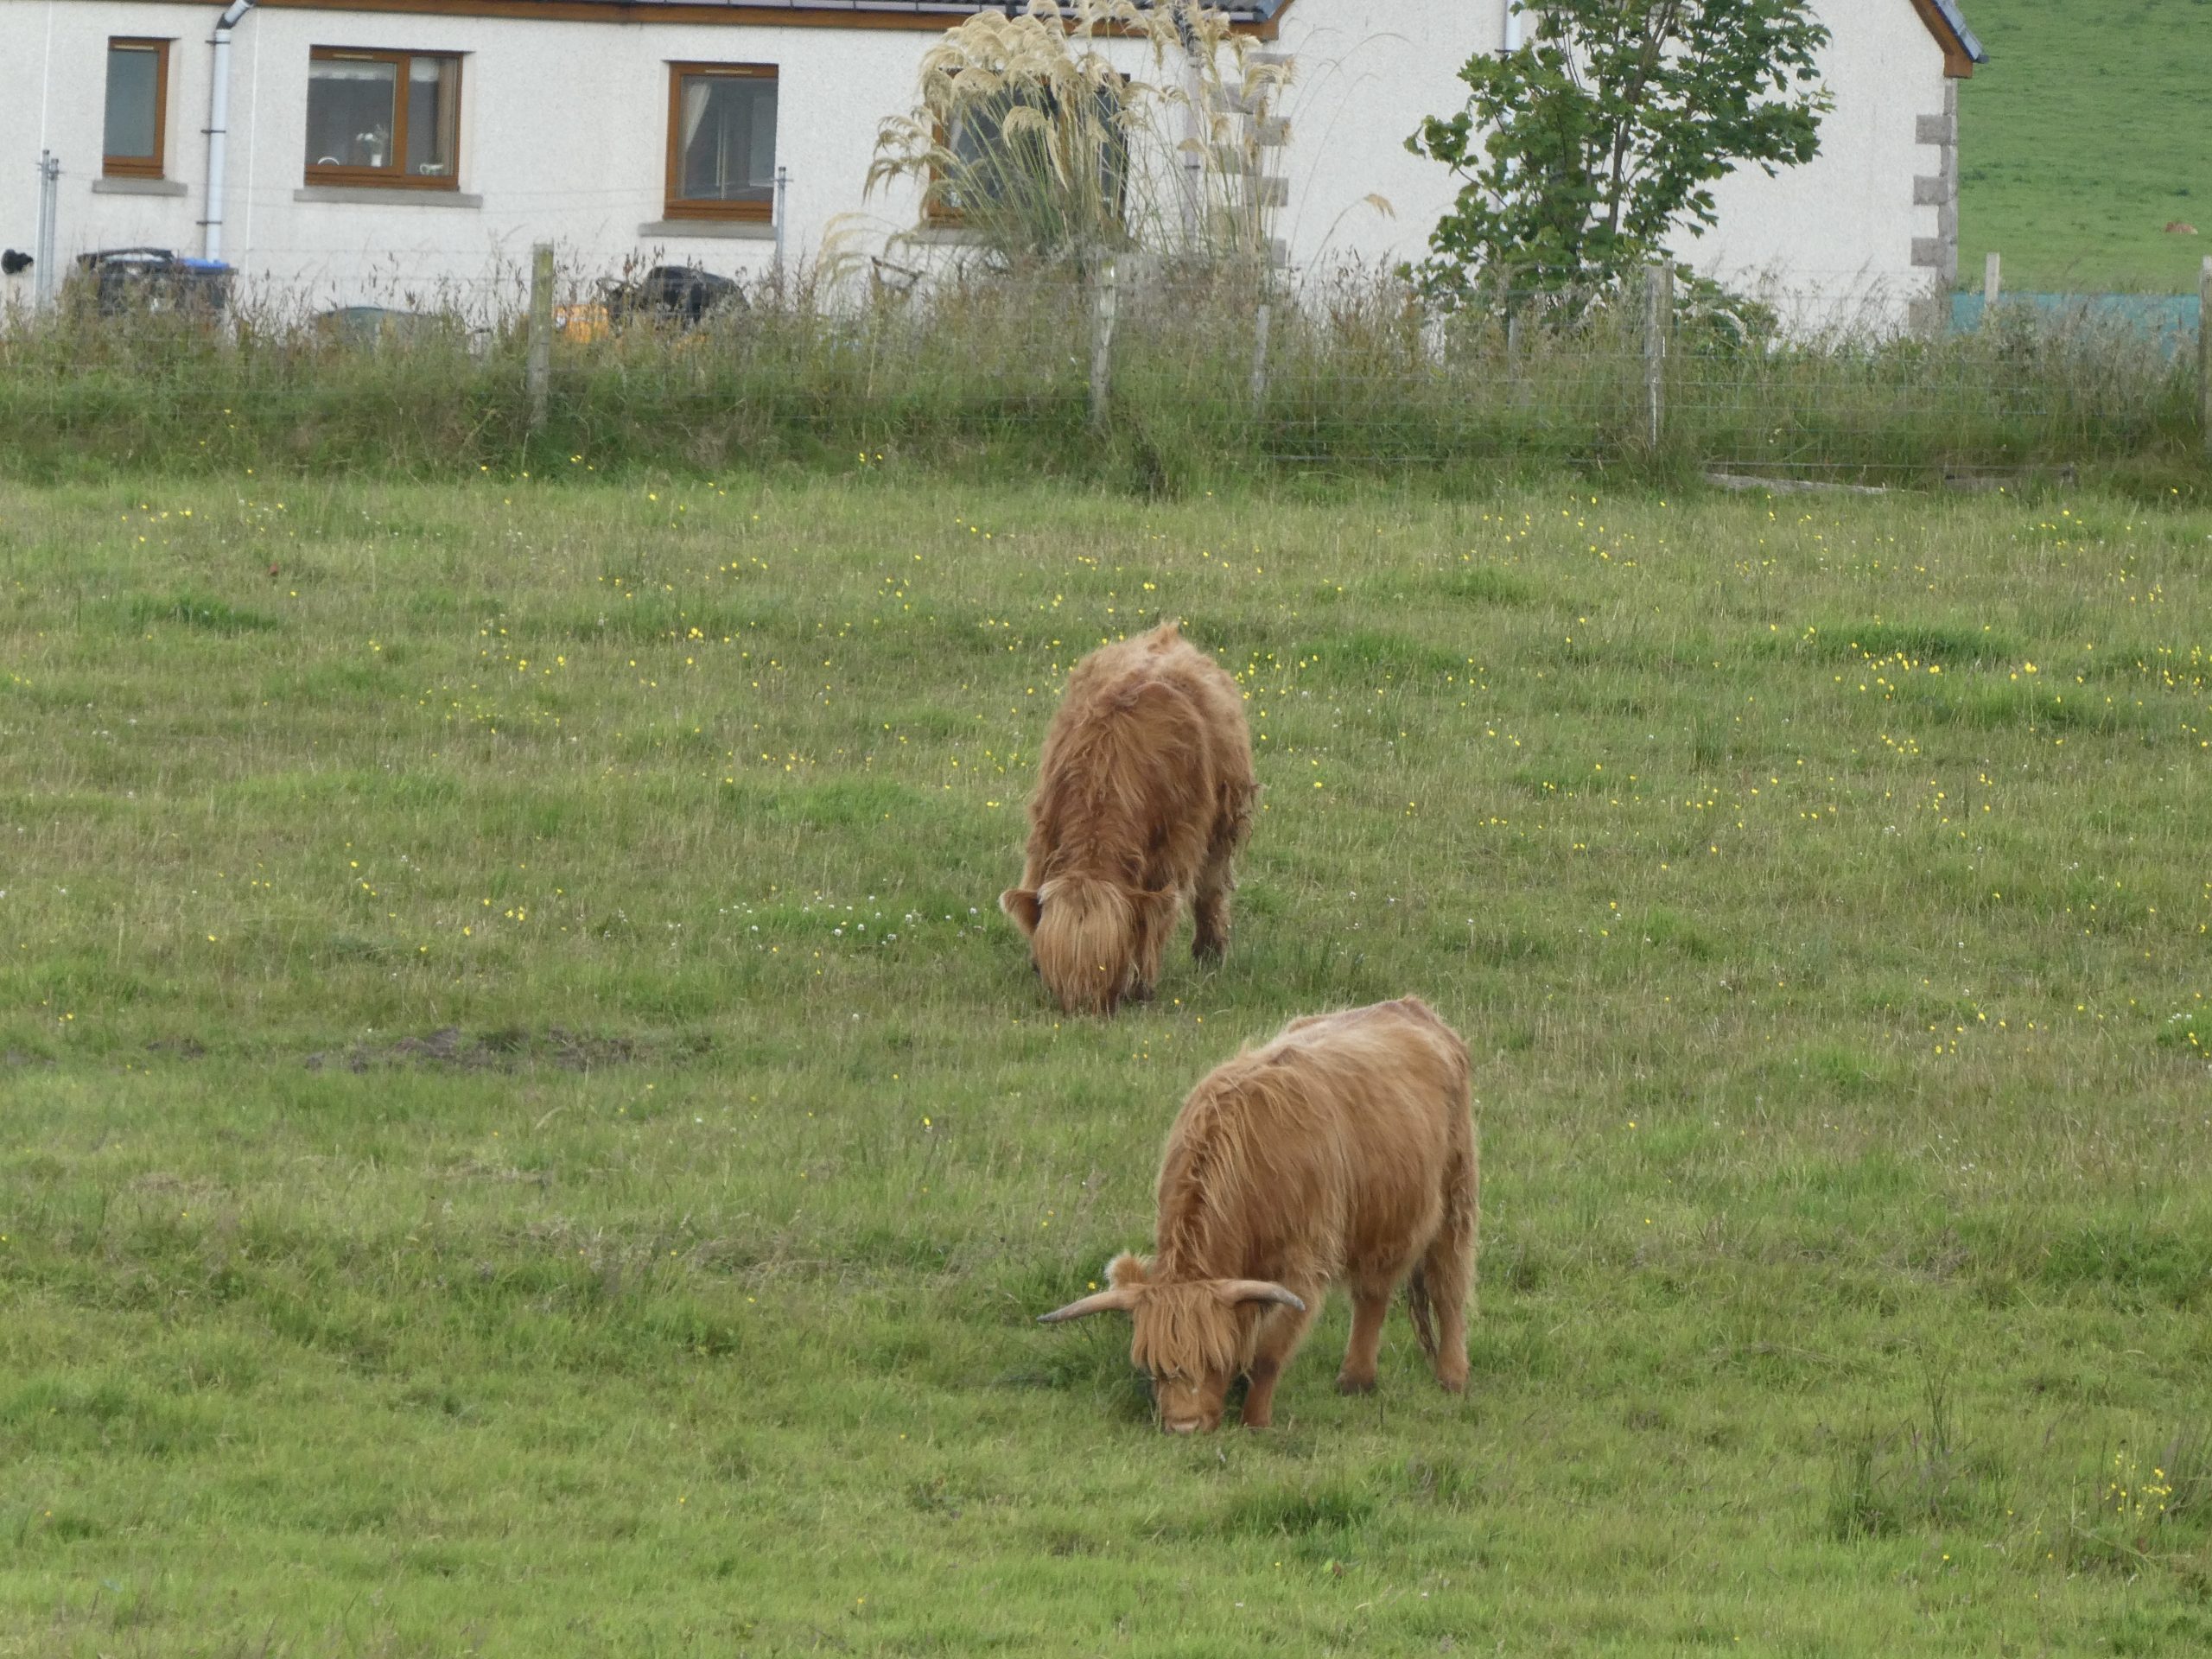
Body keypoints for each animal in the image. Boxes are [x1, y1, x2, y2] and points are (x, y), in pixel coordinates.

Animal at [1000, 622, 1255, 1016]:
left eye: (1109, 965)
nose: (1084, 1010)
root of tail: (1166, 634)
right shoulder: (1044, 832)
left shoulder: (1174, 848)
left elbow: (1157, 916)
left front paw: (1142, 984)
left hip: (1225, 821)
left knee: (1211, 890)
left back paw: (1210, 954)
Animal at [1038, 997, 1478, 1432]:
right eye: (1154, 1366)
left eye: (1213, 1360)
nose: (1184, 1426)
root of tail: (1410, 1006)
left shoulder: (1302, 1266)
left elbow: (1268, 1351)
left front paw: (1255, 1422)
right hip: (1382, 1215)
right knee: (1373, 1292)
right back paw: (1356, 1380)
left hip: (1456, 1196)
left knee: (1448, 1284)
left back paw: (1452, 1378)